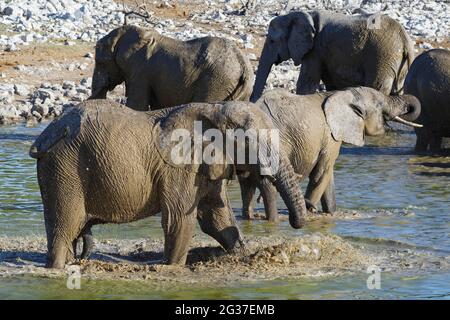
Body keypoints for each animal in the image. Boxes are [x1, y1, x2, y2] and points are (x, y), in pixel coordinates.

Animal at [29, 99, 308, 268]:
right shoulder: (179, 166)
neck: (215, 109)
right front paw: (172, 268)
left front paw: (240, 253)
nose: (295, 223)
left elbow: (217, 218)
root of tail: (46, 136)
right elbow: (180, 219)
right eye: (249, 140)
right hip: (64, 169)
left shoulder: (205, 165)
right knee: (66, 227)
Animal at [241, 86, 420, 221]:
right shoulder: (330, 136)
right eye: (381, 105)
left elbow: (328, 175)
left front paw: (330, 213)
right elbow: (322, 172)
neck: (342, 93)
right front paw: (310, 209)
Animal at [250, 10, 414, 101]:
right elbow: (331, 85)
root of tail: (405, 38)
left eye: (272, 41)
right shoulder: (325, 52)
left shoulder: (315, 49)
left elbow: (306, 84)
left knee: (377, 88)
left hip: (382, 55)